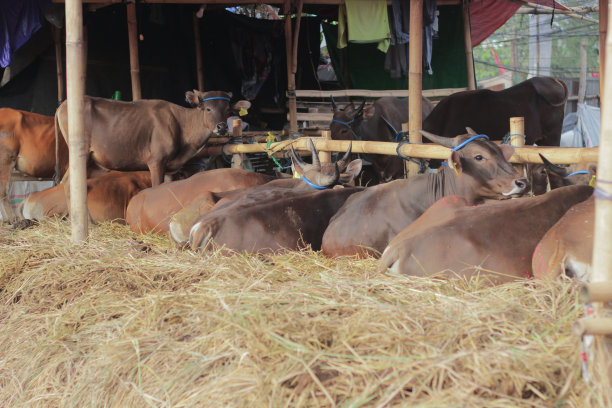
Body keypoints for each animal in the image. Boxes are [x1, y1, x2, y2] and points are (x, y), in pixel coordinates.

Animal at [54, 90, 251, 186]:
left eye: (228, 110)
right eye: (208, 109)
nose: (222, 127)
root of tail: (62, 105)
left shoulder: (171, 168)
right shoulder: (156, 161)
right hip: (80, 154)